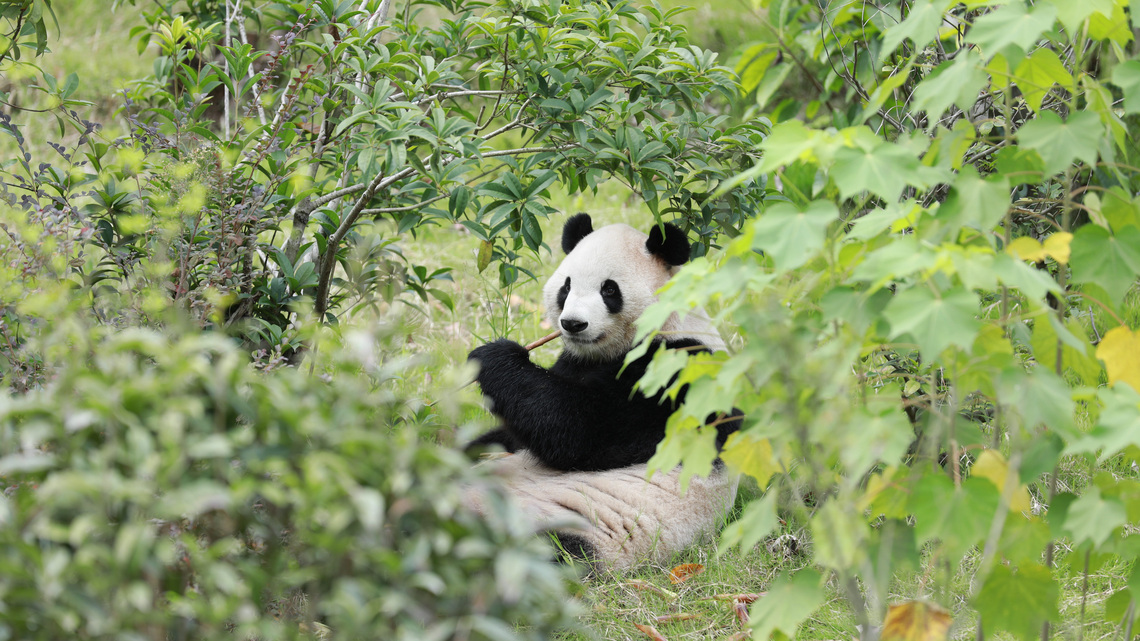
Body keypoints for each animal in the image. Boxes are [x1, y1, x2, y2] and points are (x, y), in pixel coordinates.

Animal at [464, 213, 741, 570]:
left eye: (609, 289)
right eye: (566, 286)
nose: (572, 324)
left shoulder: (676, 376)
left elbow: (579, 430)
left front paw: (494, 357)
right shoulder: (574, 362)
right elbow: (514, 431)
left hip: (563, 528)